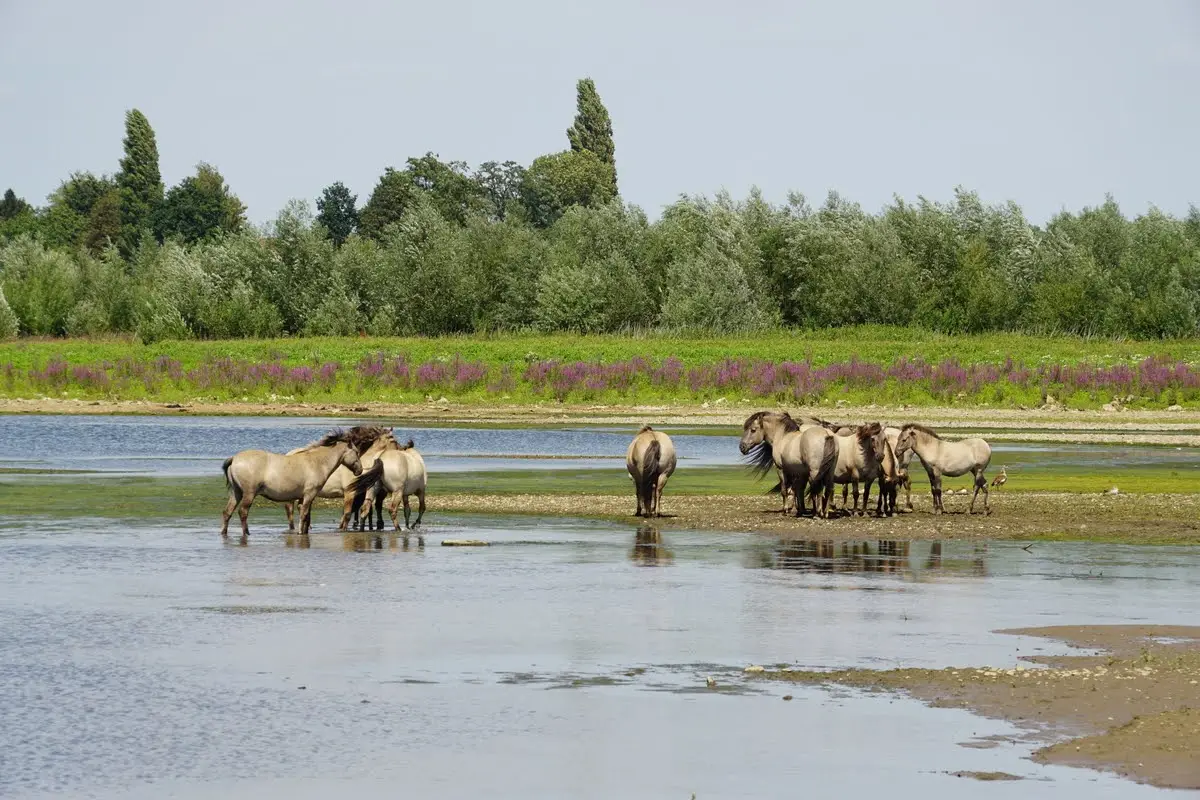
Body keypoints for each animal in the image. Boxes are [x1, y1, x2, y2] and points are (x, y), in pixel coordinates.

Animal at [220, 424, 360, 537]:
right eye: (356, 452)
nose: (359, 470)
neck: (317, 462)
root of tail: (234, 458)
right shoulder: (309, 495)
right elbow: (304, 514)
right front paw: (300, 532)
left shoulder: (304, 497)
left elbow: (307, 516)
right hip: (249, 494)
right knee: (243, 512)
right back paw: (246, 533)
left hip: (236, 493)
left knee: (227, 512)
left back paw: (224, 532)